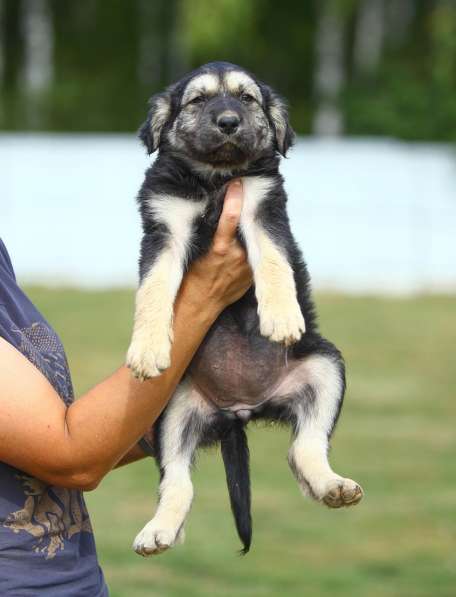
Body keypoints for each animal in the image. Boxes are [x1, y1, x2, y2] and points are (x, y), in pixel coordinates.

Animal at [125, 60, 364, 556]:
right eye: (198, 100)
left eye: (246, 98)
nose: (228, 122)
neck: (215, 178)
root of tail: (242, 410)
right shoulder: (164, 227)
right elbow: (154, 289)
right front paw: (148, 347)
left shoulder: (261, 206)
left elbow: (273, 260)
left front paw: (282, 315)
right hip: (172, 410)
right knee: (177, 482)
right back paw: (160, 530)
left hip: (325, 366)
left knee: (304, 449)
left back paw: (333, 486)